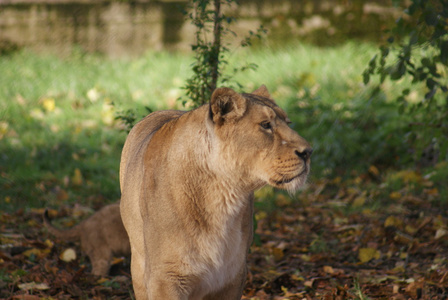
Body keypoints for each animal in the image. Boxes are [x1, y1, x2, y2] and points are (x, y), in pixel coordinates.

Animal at [121, 85, 314, 298]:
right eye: (266, 125)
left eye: (288, 123)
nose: (308, 152)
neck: (222, 195)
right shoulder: (164, 278)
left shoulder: (233, 275)